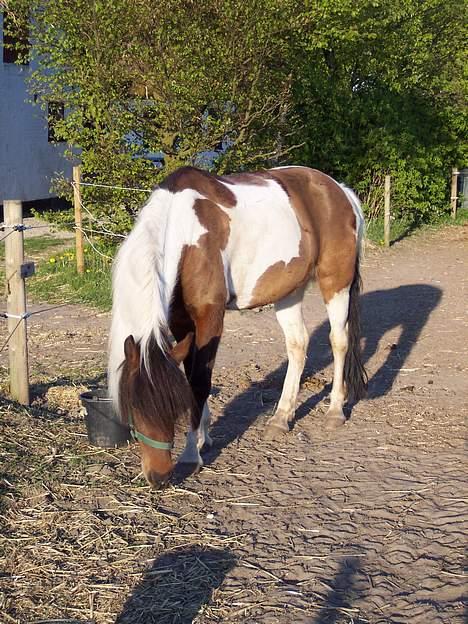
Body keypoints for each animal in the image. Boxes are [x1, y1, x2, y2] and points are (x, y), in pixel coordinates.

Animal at [108, 165, 368, 488]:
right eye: (133, 407)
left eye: (170, 408)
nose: (160, 477)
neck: (185, 232)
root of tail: (339, 190)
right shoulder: (181, 322)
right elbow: (190, 375)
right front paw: (203, 437)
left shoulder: (210, 316)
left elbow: (199, 381)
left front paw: (191, 455)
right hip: (288, 291)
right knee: (298, 345)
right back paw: (280, 418)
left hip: (335, 283)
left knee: (339, 341)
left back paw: (334, 412)